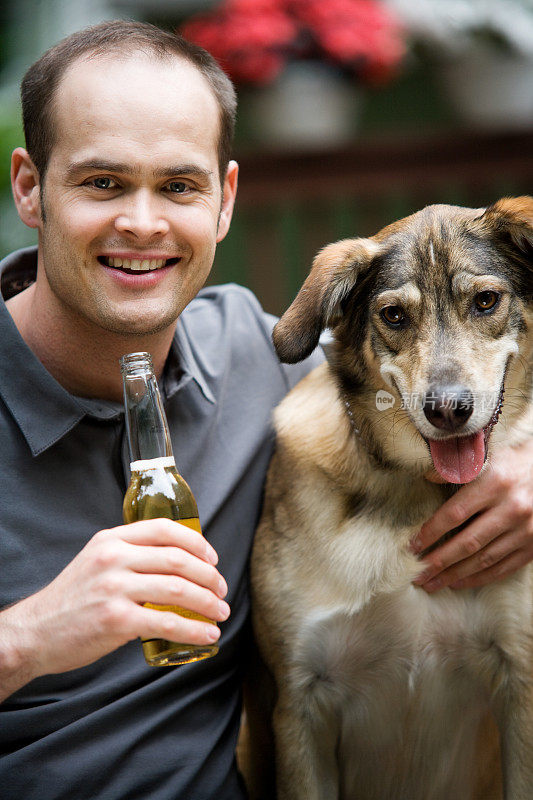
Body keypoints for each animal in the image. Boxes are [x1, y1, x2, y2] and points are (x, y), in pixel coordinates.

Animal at [244, 195, 532, 800]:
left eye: (486, 301)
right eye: (394, 315)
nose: (448, 410)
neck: (414, 486)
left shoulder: (521, 681)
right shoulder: (301, 705)